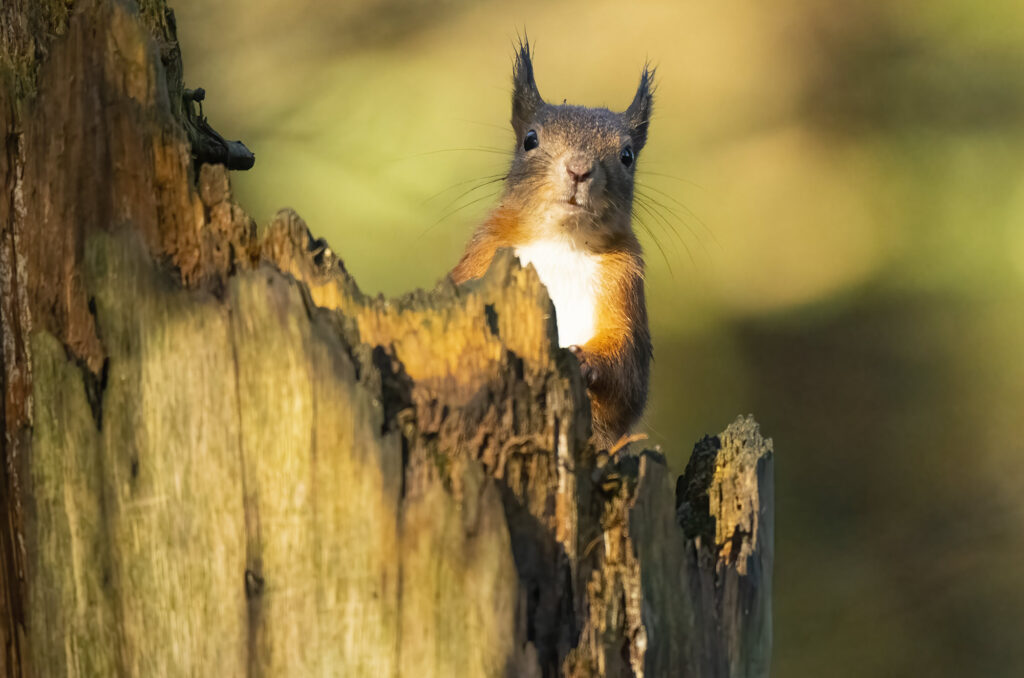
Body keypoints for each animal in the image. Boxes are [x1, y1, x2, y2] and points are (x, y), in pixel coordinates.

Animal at [452, 39, 651, 448]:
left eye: (627, 156)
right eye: (530, 139)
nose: (579, 169)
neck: (561, 242)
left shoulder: (624, 281)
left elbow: (627, 373)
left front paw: (585, 360)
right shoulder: (481, 257)